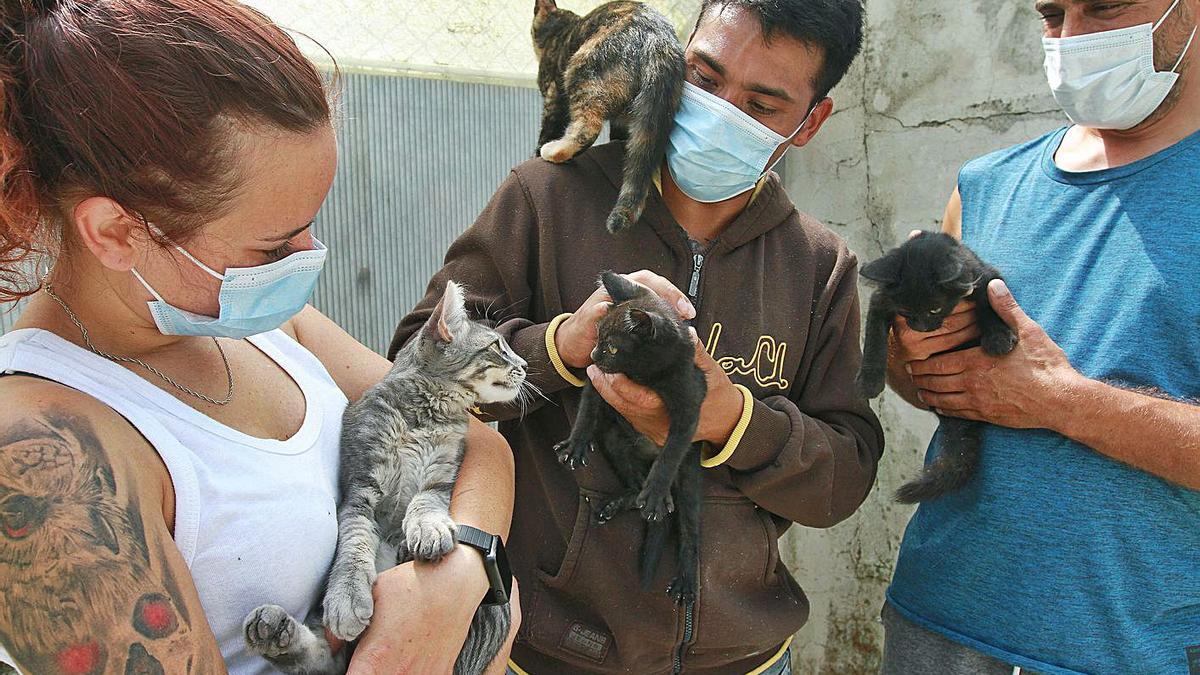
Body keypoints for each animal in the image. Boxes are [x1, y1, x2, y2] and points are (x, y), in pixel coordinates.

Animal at [242, 281, 525, 667]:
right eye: (497, 347)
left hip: (494, 611)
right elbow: (354, 542)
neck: (427, 415)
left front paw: (427, 528)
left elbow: (425, 502)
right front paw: (347, 595)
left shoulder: (442, 476)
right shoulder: (360, 491)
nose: (524, 365)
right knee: (323, 660)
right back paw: (273, 633)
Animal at [535, 0, 686, 234]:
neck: (559, 30)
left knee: (588, 127)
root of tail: (659, 40)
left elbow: (547, 128)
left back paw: (554, 151)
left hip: (581, 70)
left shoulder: (552, 96)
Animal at [549, 270, 700, 595]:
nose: (593, 354)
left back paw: (685, 576)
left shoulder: (691, 405)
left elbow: (670, 453)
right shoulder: (597, 380)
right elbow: (587, 410)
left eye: (612, 347)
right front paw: (575, 446)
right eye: (596, 336)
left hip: (690, 477)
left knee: (689, 530)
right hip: (616, 442)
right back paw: (618, 504)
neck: (645, 375)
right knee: (635, 485)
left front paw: (656, 490)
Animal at [859, 230, 1017, 499]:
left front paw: (997, 338)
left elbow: (990, 303)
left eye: (935, 309)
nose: (920, 327)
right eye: (905, 310)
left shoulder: (987, 276)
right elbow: (874, 337)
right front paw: (869, 380)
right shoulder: (881, 300)